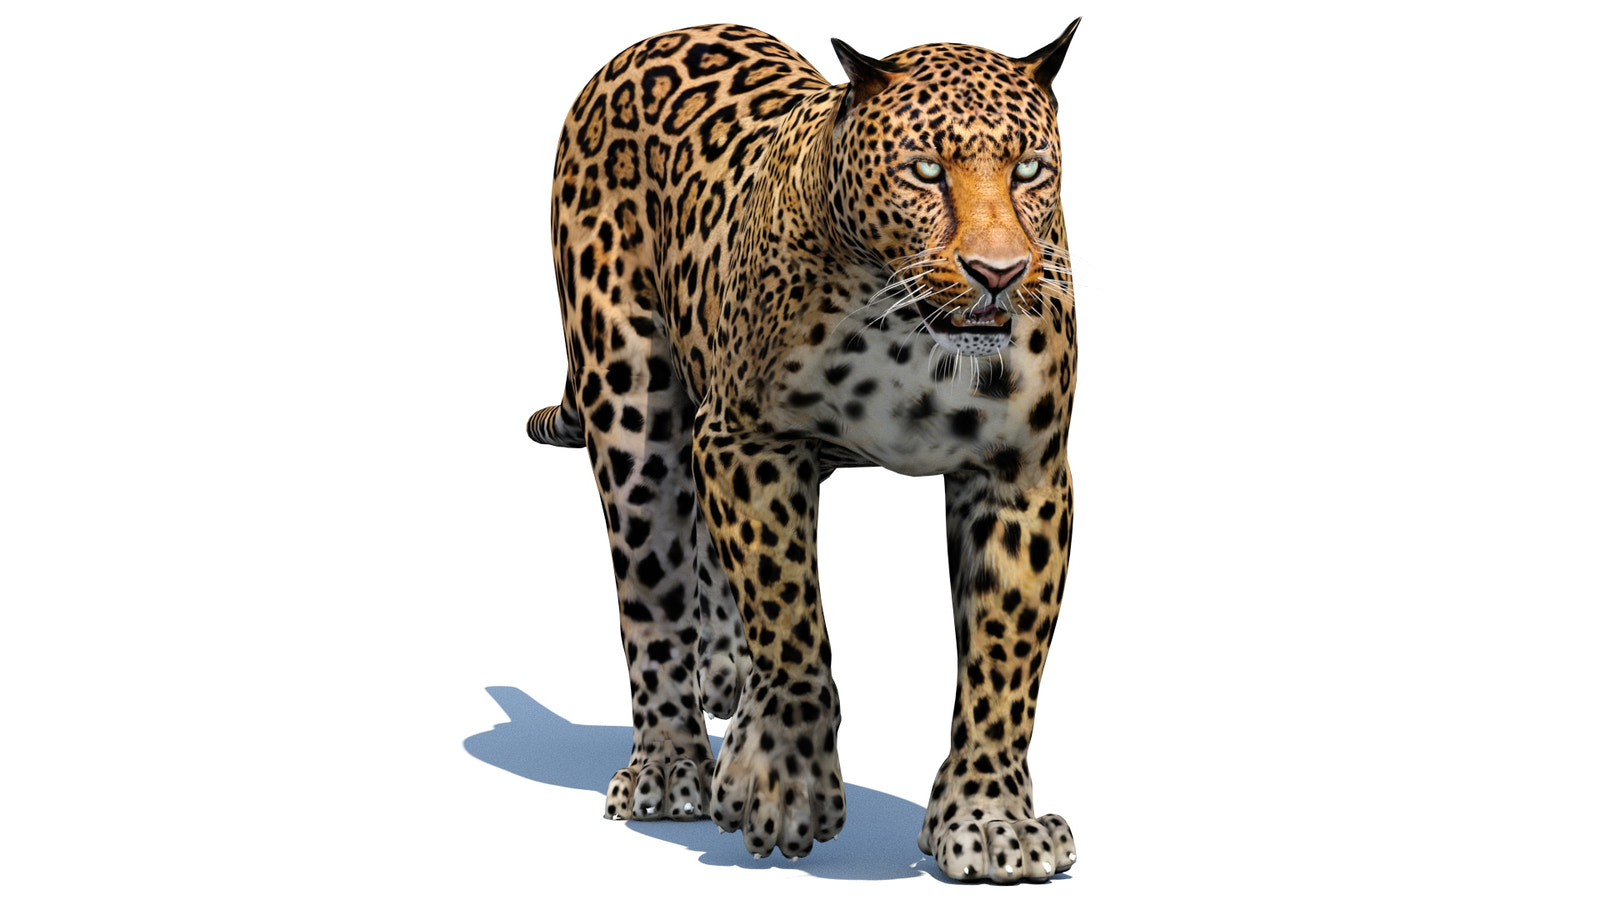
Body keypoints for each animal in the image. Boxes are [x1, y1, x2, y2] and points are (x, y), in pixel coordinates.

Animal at [523, 20, 1083, 884]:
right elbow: (790, 617)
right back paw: (668, 766)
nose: (999, 273)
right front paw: (780, 783)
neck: (913, 338)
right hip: (630, 401)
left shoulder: (1022, 472)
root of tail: (653, 38)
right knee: (651, 588)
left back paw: (722, 670)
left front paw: (991, 821)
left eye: (1030, 169)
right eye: (926, 170)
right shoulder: (750, 439)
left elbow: (1004, 658)